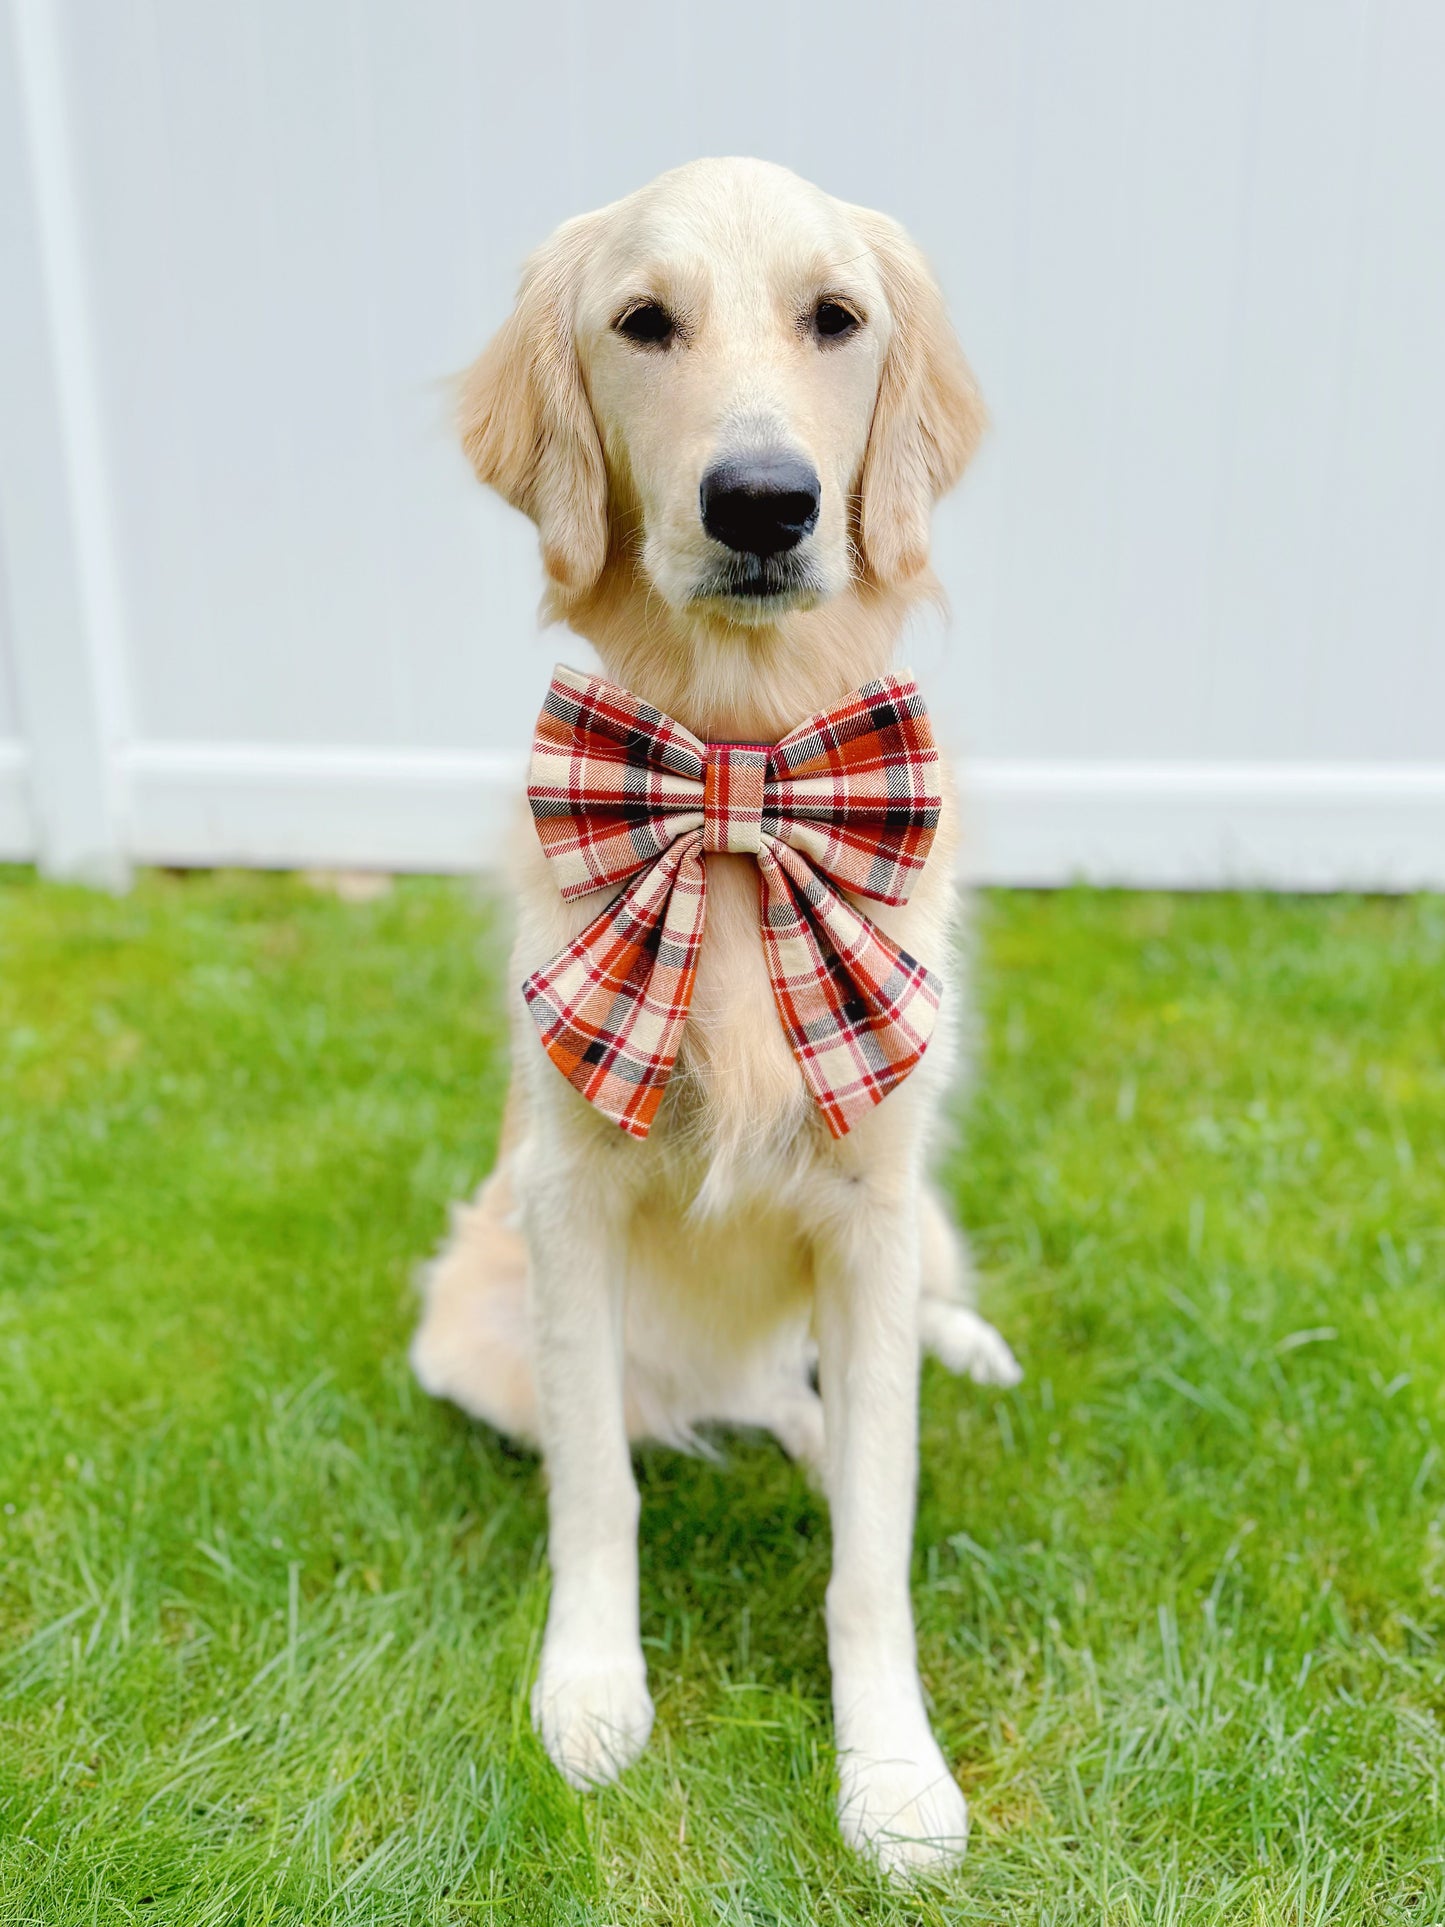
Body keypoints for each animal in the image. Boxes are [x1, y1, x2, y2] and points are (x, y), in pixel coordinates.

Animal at [408, 158, 1017, 1873]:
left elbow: (874, 1544)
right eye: (642, 321)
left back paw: (964, 1346)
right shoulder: (567, 1201)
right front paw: (590, 1691)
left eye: (835, 317)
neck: (739, 780)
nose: (761, 500)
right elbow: (599, 1492)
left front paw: (893, 1773)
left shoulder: (871, 1203)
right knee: (736, 1404)